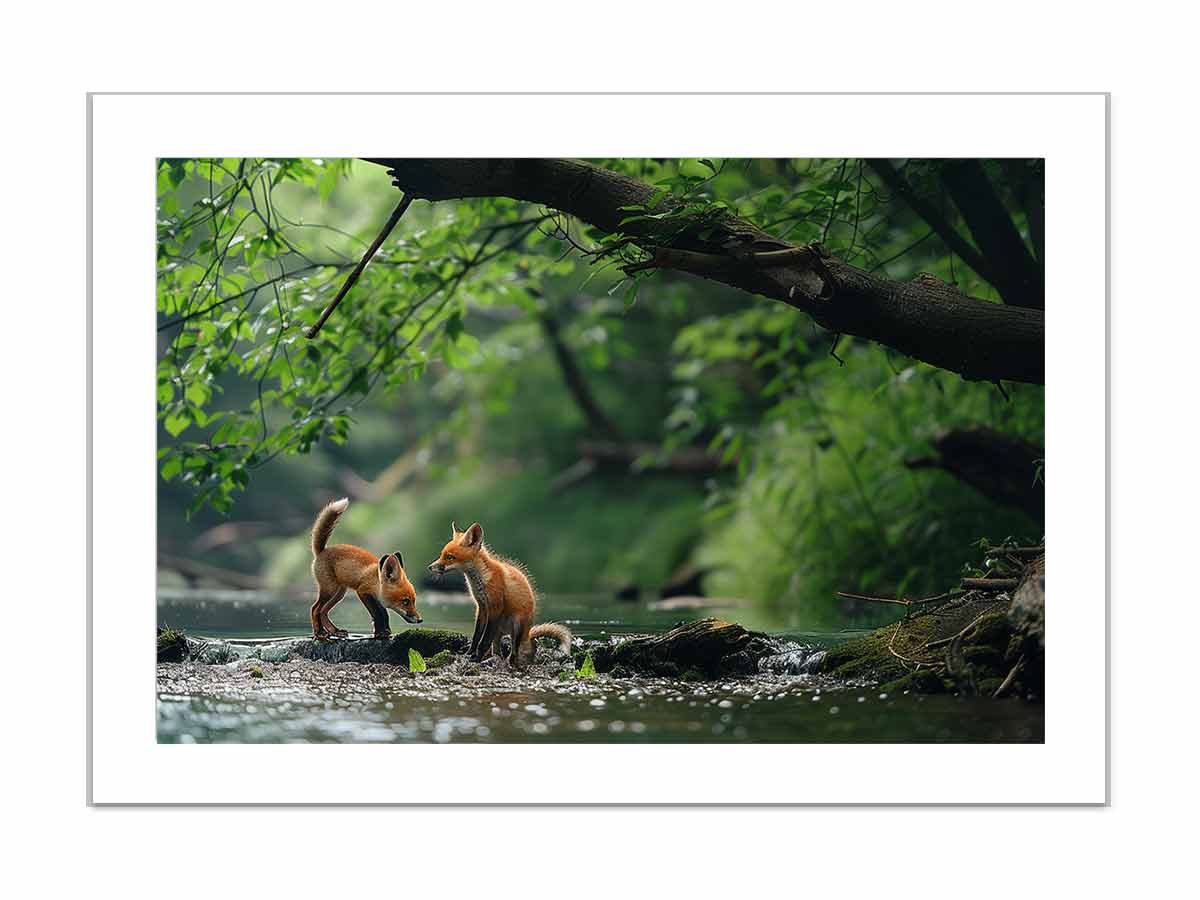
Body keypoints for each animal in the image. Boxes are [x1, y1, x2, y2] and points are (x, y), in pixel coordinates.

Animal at [308, 497, 422, 640]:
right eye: (405, 601)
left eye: (414, 601)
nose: (420, 620)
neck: (376, 581)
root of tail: (322, 551)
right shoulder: (363, 592)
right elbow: (378, 614)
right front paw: (381, 634)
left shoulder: (377, 599)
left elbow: (384, 615)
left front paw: (385, 632)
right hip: (329, 590)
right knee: (315, 609)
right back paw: (320, 634)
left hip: (339, 593)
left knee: (323, 612)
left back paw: (334, 631)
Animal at [427, 521, 572, 667]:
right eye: (441, 555)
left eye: (450, 557)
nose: (430, 567)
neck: (481, 580)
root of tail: (528, 631)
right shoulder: (481, 607)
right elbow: (476, 637)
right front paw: (469, 654)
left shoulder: (495, 607)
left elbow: (484, 641)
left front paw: (475, 658)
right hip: (498, 632)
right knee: (498, 651)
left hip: (516, 625)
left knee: (514, 651)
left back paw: (510, 663)